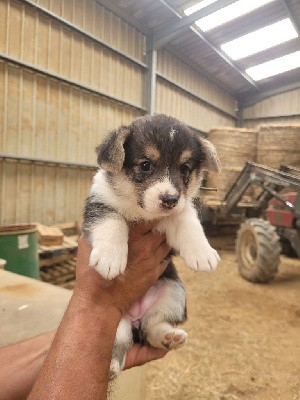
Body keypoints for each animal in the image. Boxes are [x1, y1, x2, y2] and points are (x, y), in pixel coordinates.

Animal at [82, 113, 220, 378]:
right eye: (146, 165)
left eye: (185, 169)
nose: (169, 200)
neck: (140, 211)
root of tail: (135, 317)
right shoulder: (99, 205)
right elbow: (112, 222)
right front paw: (110, 258)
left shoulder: (179, 214)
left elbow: (188, 223)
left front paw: (203, 254)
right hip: (116, 321)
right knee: (122, 340)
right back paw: (112, 366)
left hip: (174, 292)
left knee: (152, 326)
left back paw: (169, 337)